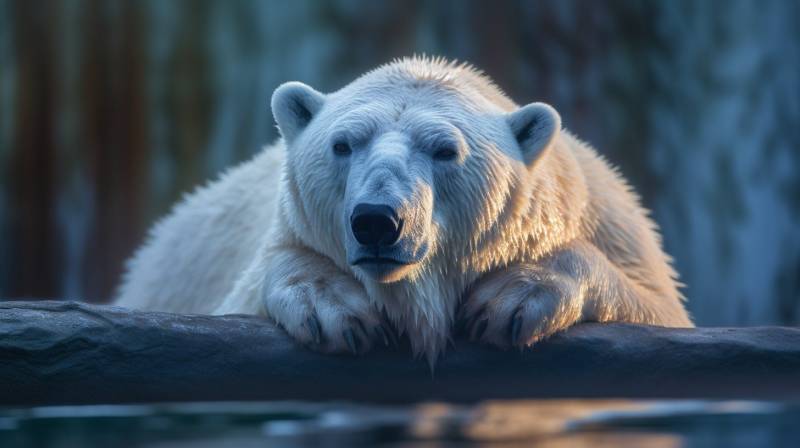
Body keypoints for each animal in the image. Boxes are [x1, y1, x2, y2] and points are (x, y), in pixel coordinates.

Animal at [115, 57, 692, 364]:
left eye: (445, 150)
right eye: (343, 144)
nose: (377, 220)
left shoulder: (615, 230)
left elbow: (657, 309)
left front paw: (513, 298)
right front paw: (333, 307)